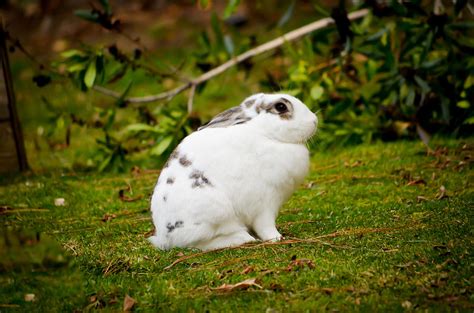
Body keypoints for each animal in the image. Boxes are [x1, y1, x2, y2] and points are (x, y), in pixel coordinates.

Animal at [148, 92, 318, 249]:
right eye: (281, 107)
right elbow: (266, 226)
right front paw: (277, 238)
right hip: (217, 212)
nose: (314, 121)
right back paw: (244, 238)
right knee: (202, 243)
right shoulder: (265, 203)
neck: (265, 134)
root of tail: (164, 237)